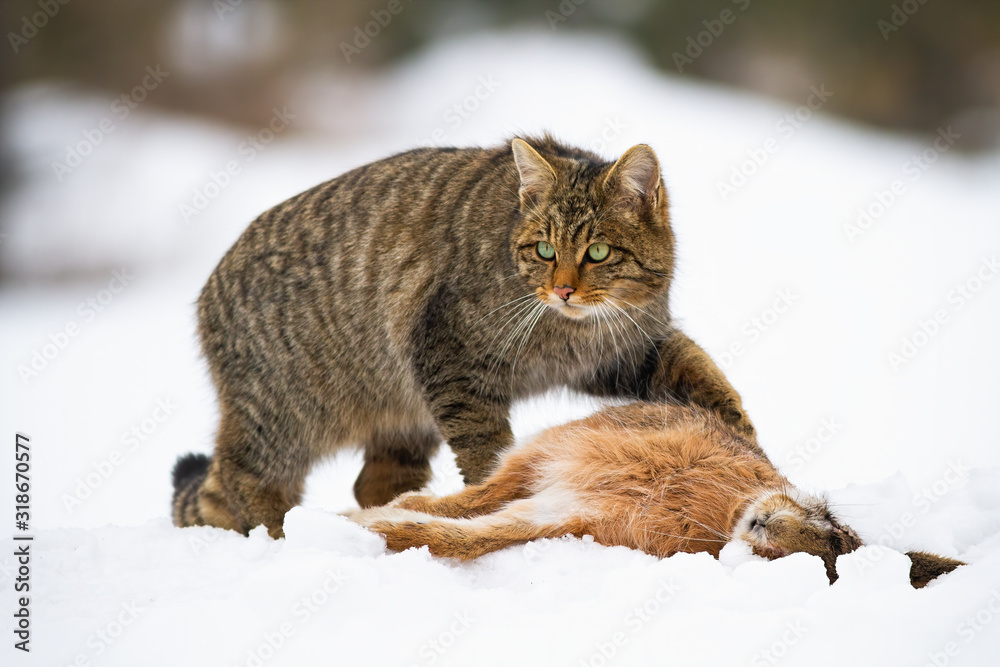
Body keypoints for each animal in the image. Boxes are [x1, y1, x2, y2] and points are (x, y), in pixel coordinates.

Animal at [347, 402, 963, 587]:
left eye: (826, 565)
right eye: (832, 529)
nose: (766, 527)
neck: (729, 511)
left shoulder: (565, 511)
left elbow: (469, 536)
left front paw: (375, 529)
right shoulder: (557, 469)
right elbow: (463, 511)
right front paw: (358, 522)